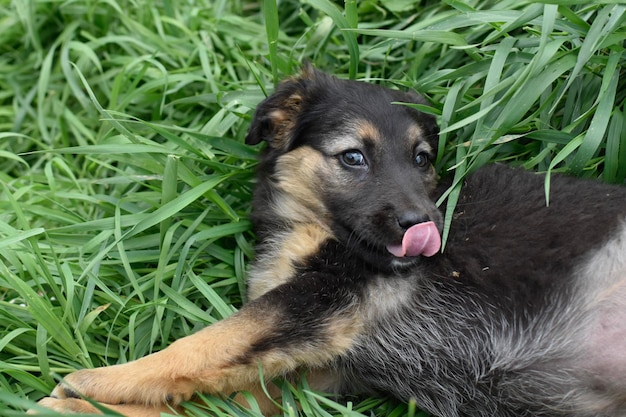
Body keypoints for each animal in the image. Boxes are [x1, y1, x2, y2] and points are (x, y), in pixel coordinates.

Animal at [37, 66, 624, 416]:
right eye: (353, 157)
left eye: (421, 159)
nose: (427, 229)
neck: (309, 226)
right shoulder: (308, 367)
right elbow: (203, 393)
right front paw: (85, 407)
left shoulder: (318, 302)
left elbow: (200, 344)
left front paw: (91, 384)